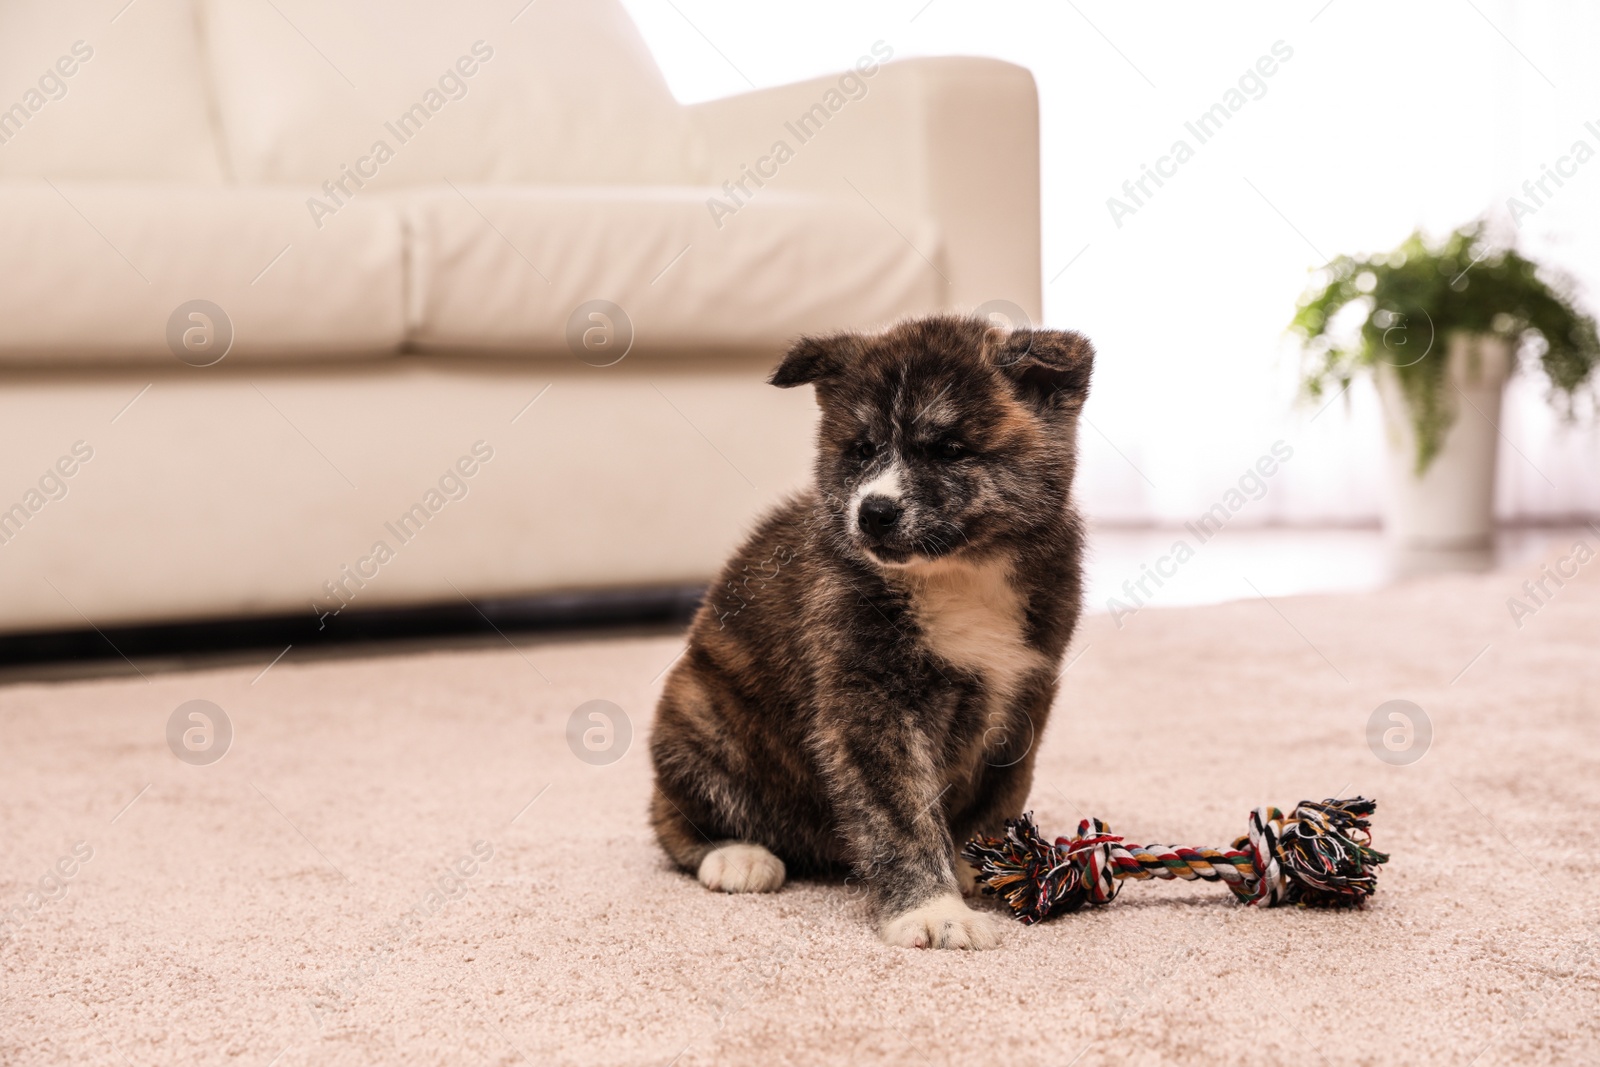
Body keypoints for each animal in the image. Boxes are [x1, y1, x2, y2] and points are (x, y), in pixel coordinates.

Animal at [646, 313, 1088, 947]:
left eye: (949, 450)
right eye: (861, 449)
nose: (873, 513)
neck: (958, 573)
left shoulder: (1024, 689)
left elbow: (1001, 792)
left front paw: (984, 861)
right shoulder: (870, 703)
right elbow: (901, 815)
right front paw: (933, 910)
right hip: (696, 713)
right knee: (672, 818)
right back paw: (736, 855)